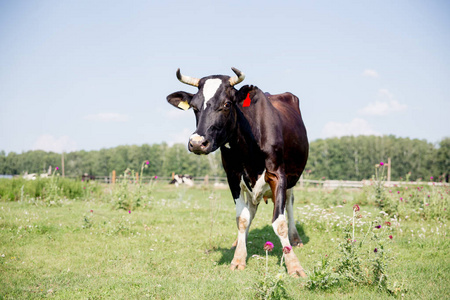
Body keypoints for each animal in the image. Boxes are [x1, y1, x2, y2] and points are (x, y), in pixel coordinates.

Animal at [166, 67, 310, 276]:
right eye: (194, 106)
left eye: (227, 104)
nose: (197, 143)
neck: (249, 146)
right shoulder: (233, 177)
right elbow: (242, 219)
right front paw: (239, 257)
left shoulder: (278, 175)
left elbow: (280, 222)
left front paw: (294, 265)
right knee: (251, 210)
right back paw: (238, 242)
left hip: (292, 178)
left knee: (289, 204)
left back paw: (296, 239)